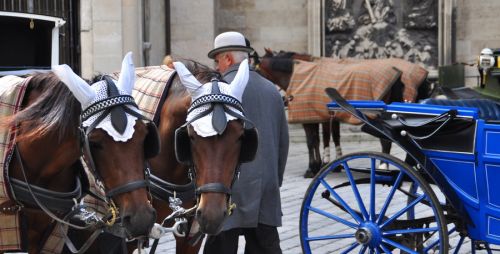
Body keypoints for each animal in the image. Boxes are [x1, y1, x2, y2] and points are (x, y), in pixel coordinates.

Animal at [252, 48, 432, 178]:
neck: (299, 72)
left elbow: (313, 141)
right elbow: (329, 137)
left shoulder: (310, 116)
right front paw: (330, 163)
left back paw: (384, 167)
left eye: (254, 70)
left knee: (386, 141)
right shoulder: (326, 115)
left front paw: (314, 167)